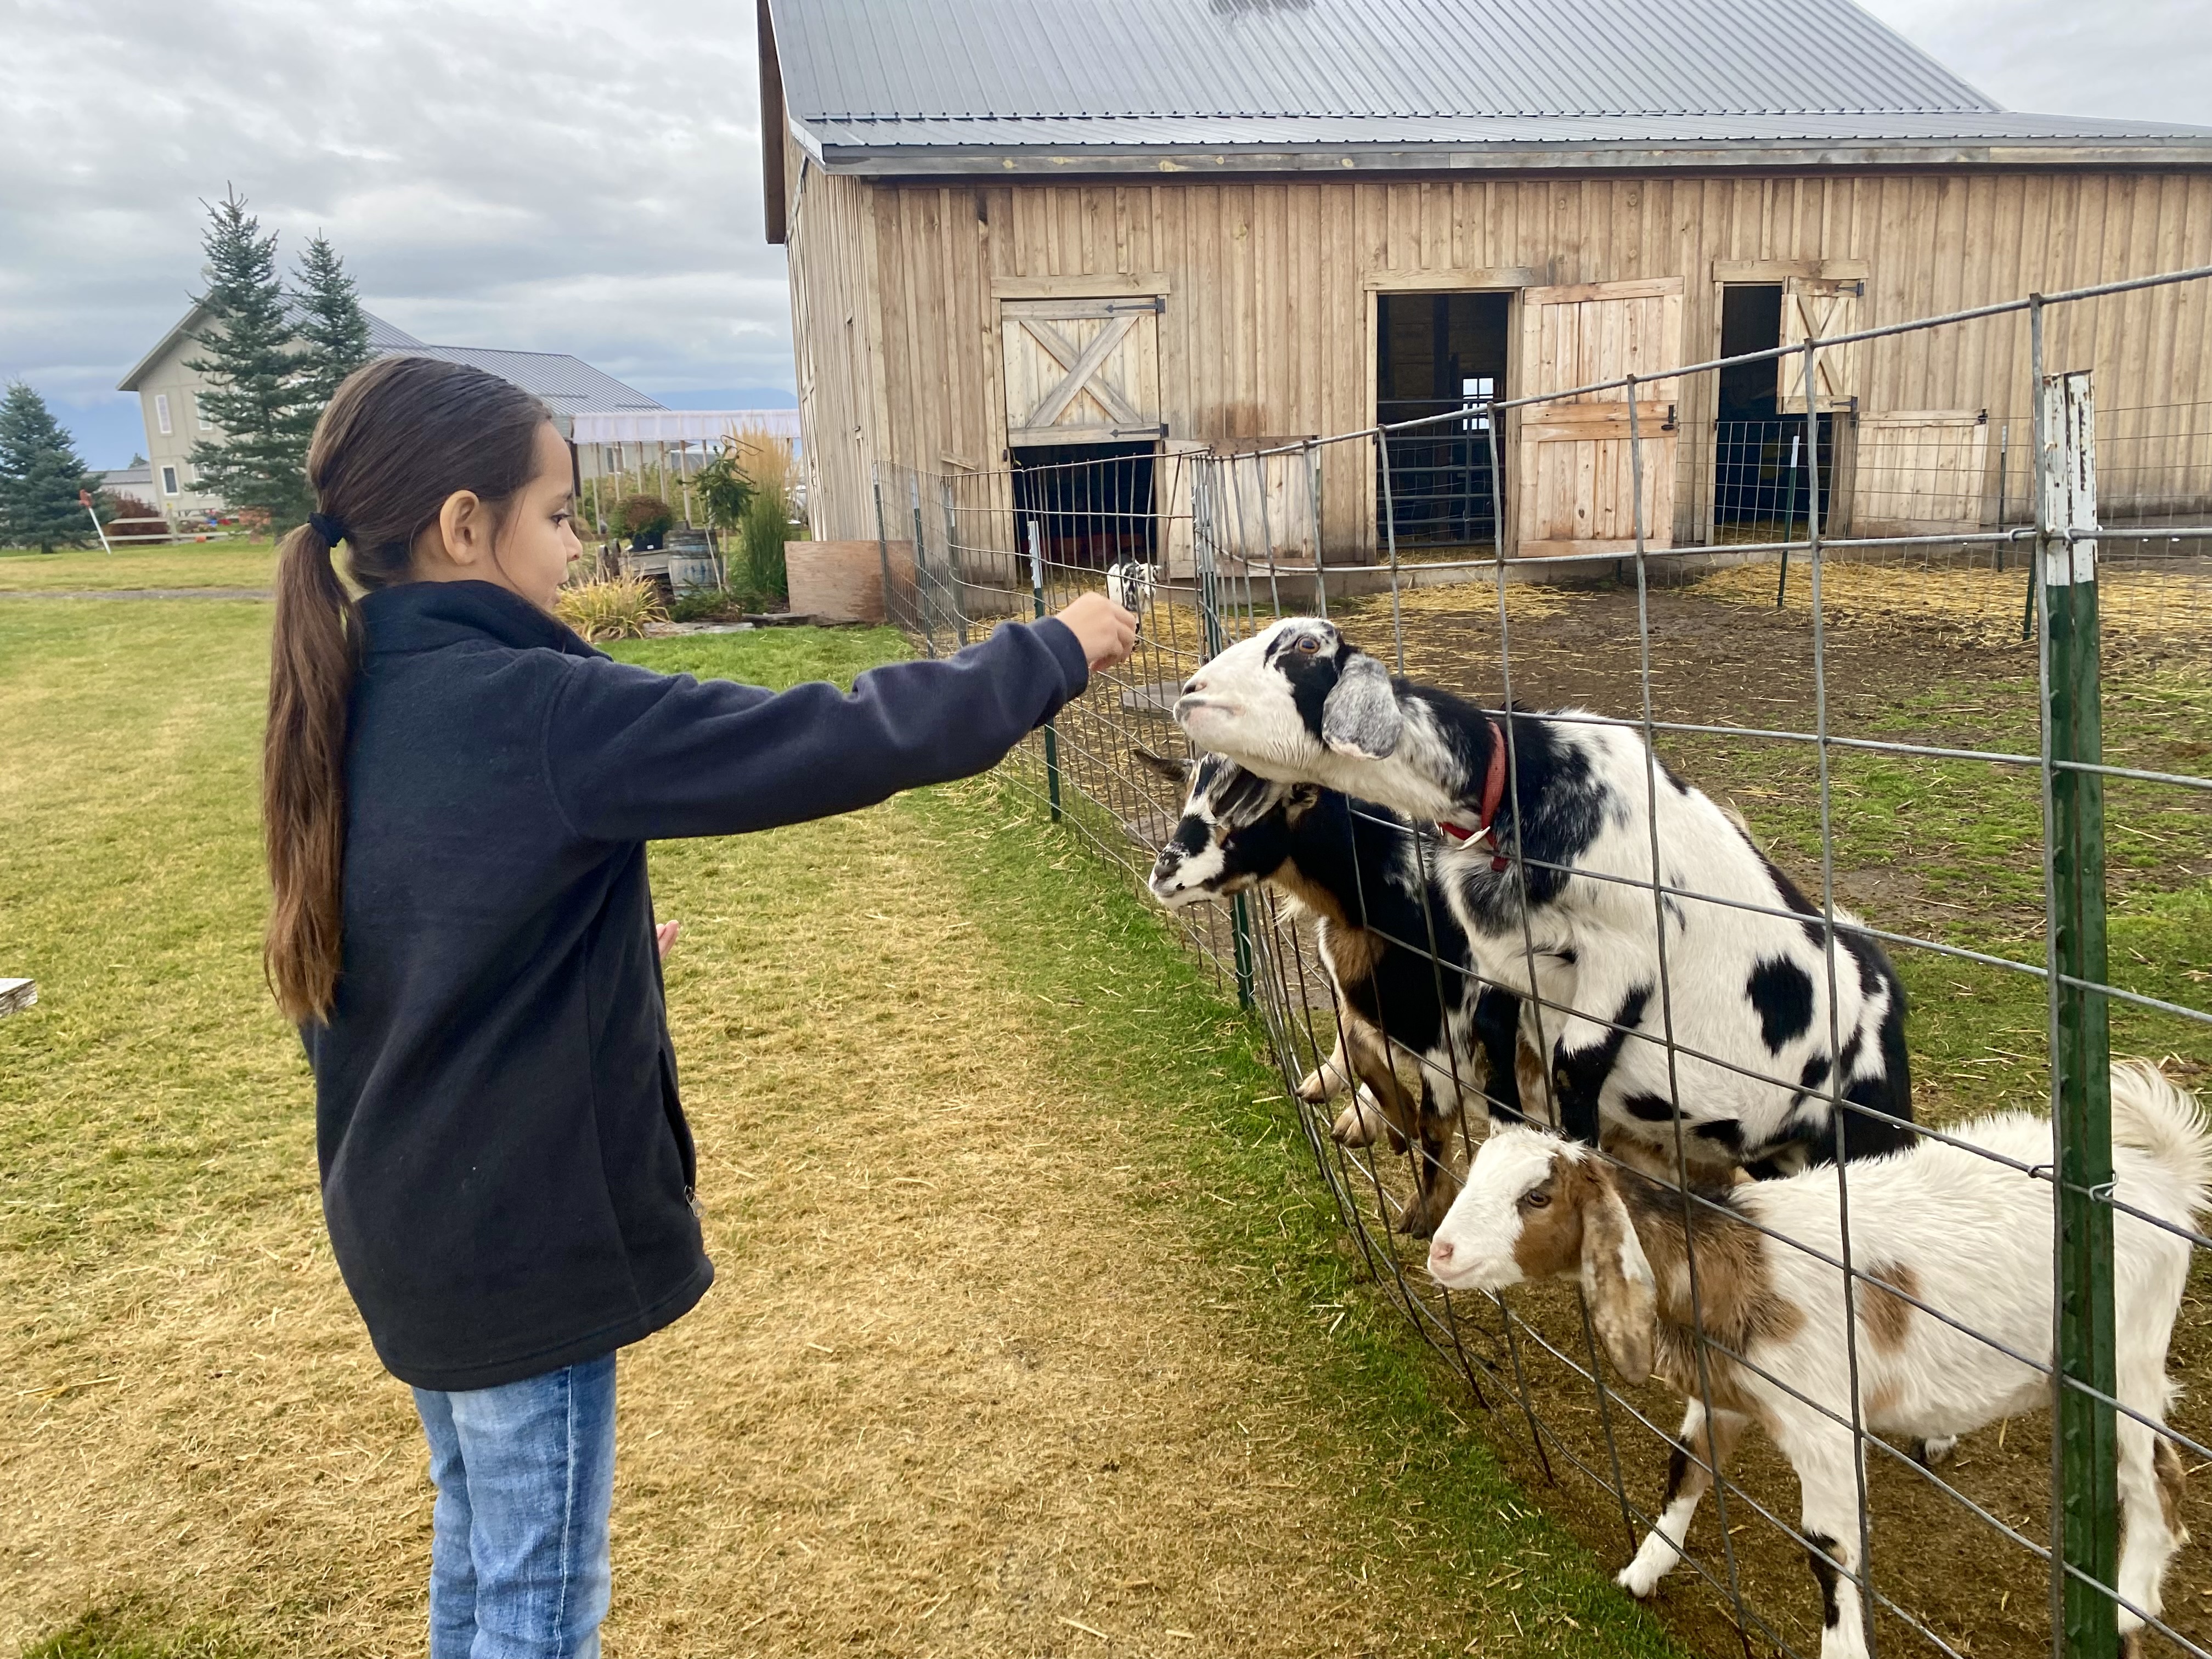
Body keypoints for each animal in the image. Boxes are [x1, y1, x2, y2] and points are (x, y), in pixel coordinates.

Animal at [1150, 761, 1531, 1238]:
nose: (1163, 874)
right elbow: (1360, 1045)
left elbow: (1435, 1126)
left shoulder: (1451, 1036)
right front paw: (1394, 1124)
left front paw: (1426, 1212)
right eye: (1187, 792)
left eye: (1256, 805)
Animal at [1177, 619, 1920, 1186]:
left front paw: (1580, 1160)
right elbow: (1494, 1033)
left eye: (1305, 646)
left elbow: (1574, 1064)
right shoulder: (1502, 959)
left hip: (1865, 1128)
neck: (1520, 787)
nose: (1188, 692)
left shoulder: (1626, 949)